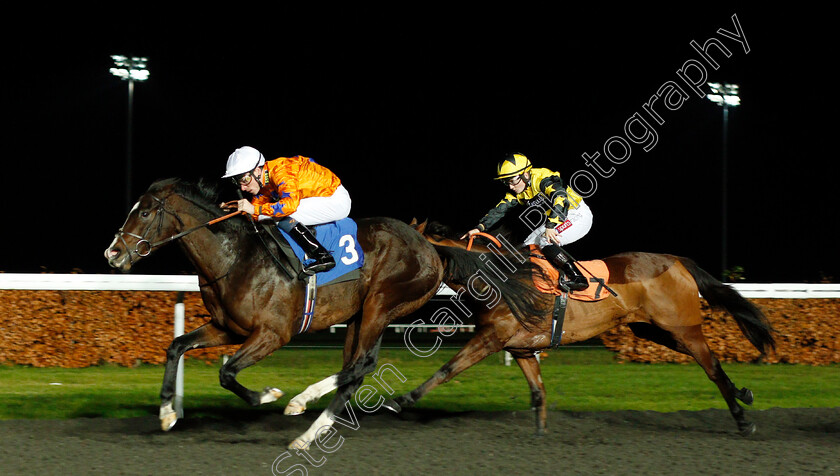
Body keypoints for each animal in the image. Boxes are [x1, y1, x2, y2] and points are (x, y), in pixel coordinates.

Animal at [105, 179, 540, 450]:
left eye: (145, 213)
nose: (112, 253)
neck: (235, 258)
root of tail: (432, 247)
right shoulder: (228, 328)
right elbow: (176, 346)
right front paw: (166, 413)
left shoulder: (272, 334)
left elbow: (227, 373)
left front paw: (267, 394)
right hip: (359, 314)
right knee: (354, 369)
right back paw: (309, 431)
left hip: (384, 303)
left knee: (362, 365)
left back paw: (301, 403)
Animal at [386, 218, 776, 436]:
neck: (499, 279)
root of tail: (677, 260)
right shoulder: (521, 346)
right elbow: (538, 392)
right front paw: (540, 434)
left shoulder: (491, 338)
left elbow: (447, 369)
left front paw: (401, 400)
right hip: (654, 330)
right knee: (711, 363)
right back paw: (743, 394)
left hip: (684, 328)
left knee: (711, 367)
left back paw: (742, 420)